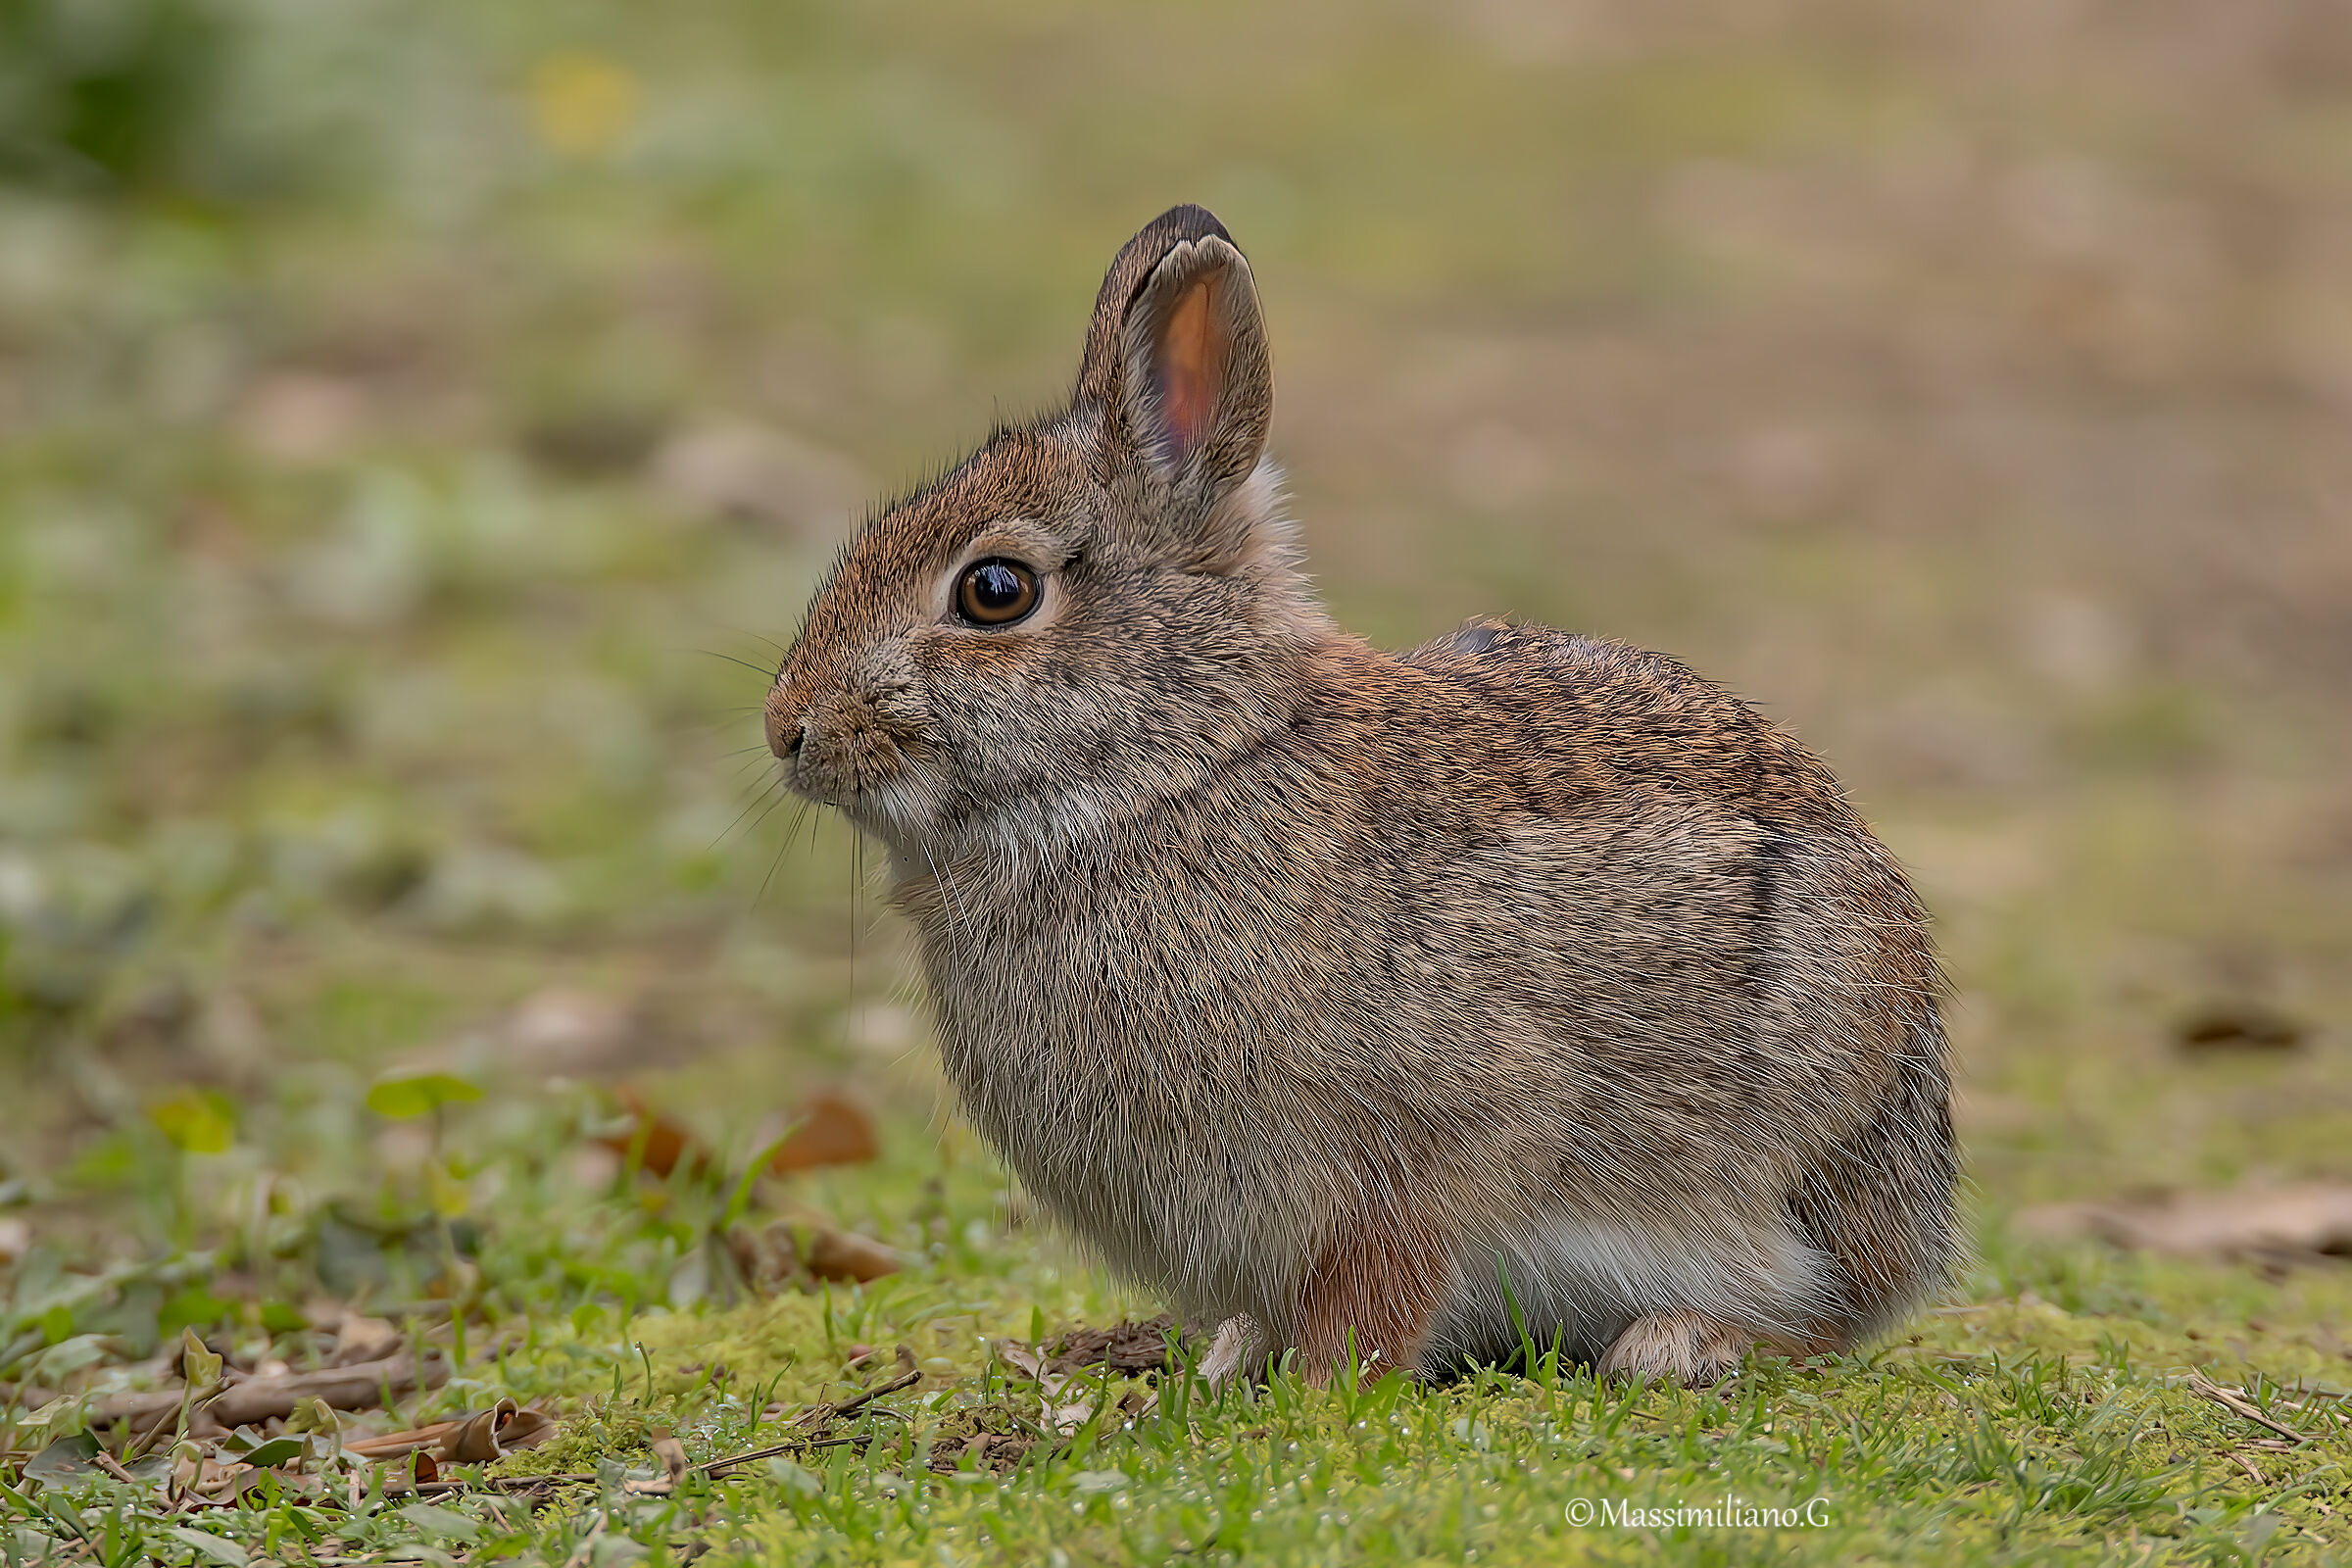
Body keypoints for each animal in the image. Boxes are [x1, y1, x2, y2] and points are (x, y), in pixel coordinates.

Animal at [765, 204, 1956, 1388]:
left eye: (995, 590)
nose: (790, 729)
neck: (1173, 771)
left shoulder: (1438, 1138)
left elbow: (1384, 1274)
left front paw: (1324, 1382)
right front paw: (1231, 1363)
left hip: (1803, 1129)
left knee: (1837, 1311)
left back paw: (1685, 1341)